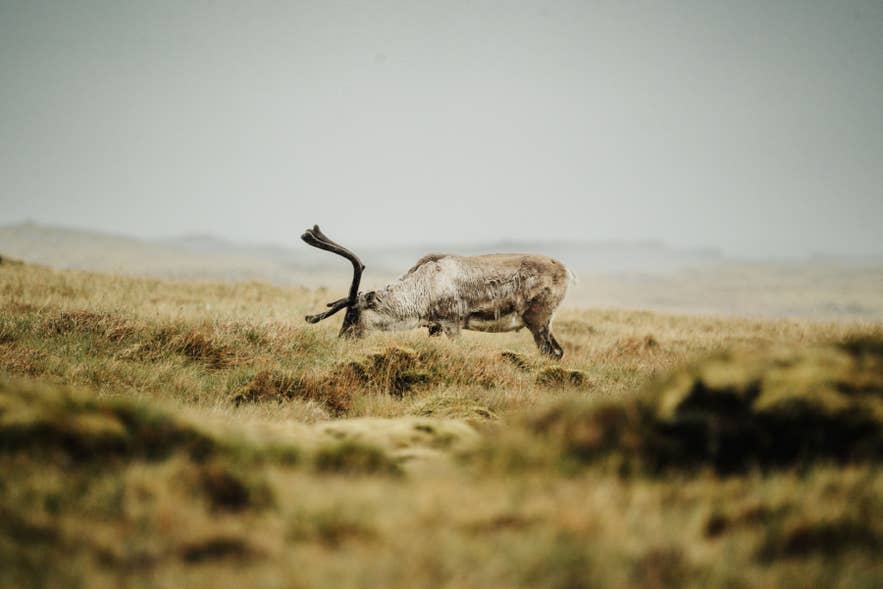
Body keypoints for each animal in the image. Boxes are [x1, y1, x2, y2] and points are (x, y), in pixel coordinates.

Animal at [301, 225, 573, 359]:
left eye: (352, 314)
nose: (342, 340)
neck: (423, 287)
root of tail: (566, 269)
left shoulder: (452, 323)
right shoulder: (434, 327)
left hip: (537, 320)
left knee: (549, 352)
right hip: (544, 323)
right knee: (558, 352)